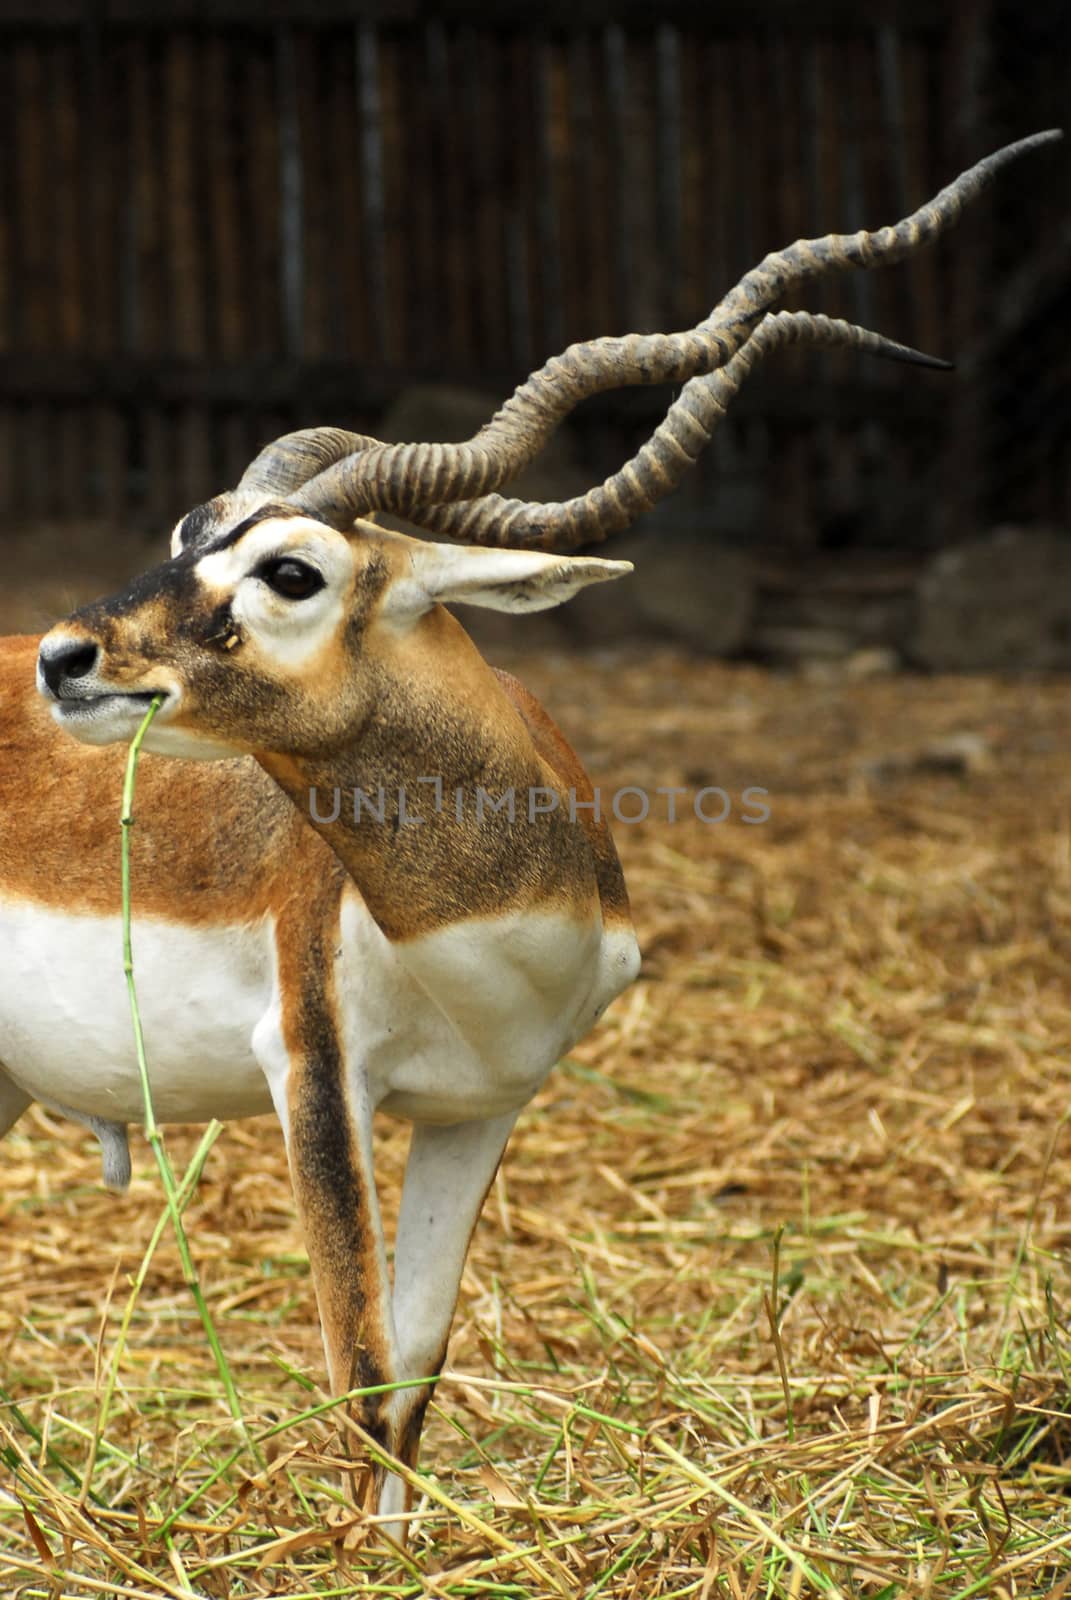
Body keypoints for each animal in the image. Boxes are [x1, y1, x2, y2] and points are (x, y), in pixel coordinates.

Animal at [0, 131, 1056, 1529]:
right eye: (189, 530)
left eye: (289, 569)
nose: (65, 657)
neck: (480, 930)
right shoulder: (314, 1072)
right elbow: (358, 1360)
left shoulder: (483, 1107)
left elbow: (414, 1362)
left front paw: (401, 1548)